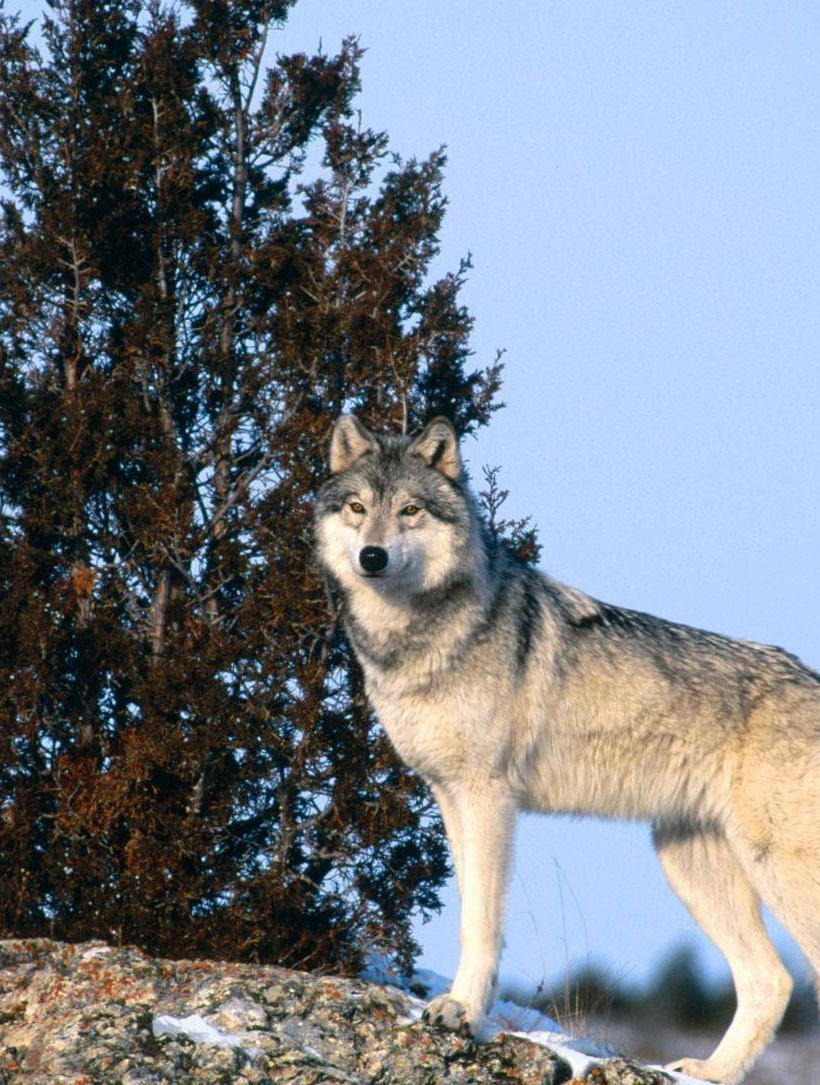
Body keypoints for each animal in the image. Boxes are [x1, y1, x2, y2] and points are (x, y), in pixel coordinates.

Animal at [312, 414, 820, 1085]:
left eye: (410, 511)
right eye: (358, 508)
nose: (372, 556)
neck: (418, 638)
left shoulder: (489, 797)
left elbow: (482, 924)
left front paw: (462, 1015)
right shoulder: (450, 796)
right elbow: (470, 914)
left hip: (774, 868)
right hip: (687, 864)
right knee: (771, 981)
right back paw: (707, 1071)